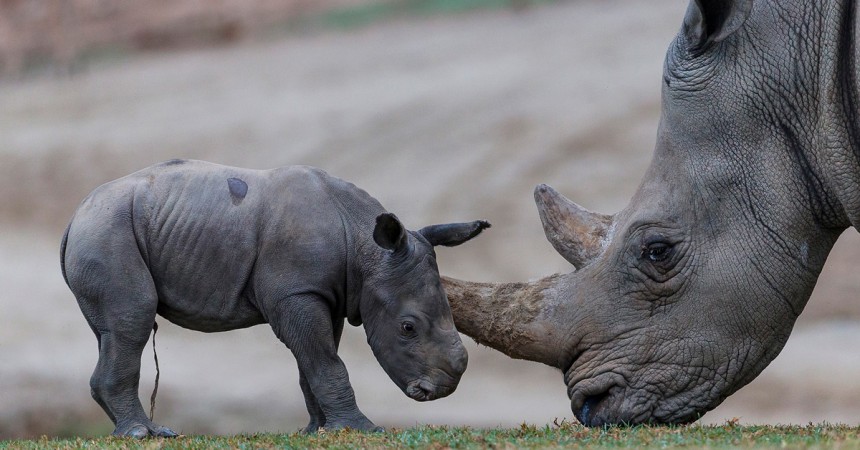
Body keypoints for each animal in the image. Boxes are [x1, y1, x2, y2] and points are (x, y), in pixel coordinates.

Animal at [62, 160, 490, 438]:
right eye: (407, 327)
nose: (442, 388)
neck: (364, 249)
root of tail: (75, 216)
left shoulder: (325, 294)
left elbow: (314, 360)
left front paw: (319, 431)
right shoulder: (295, 292)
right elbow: (326, 362)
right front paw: (363, 430)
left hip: (106, 229)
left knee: (110, 332)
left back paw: (150, 432)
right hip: (107, 231)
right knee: (132, 321)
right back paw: (141, 434)